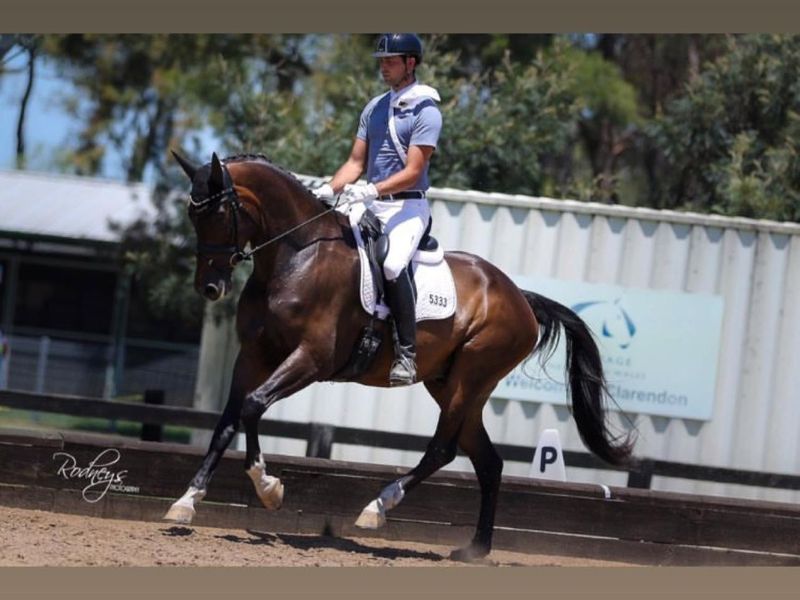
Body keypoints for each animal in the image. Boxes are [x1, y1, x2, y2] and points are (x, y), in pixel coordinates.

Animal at [164, 151, 634, 562]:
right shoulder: (253, 356)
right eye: (192, 216)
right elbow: (227, 422)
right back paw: (475, 550)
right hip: (451, 385)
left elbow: (252, 405)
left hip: (470, 377)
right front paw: (188, 499)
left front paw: (268, 487)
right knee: (488, 462)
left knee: (443, 450)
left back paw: (378, 508)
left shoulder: (311, 359)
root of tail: (520, 296)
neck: (296, 255)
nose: (209, 288)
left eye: (218, 214)